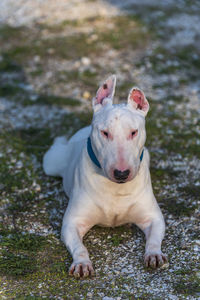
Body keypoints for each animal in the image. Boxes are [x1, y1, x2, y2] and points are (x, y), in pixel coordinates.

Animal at [43, 75, 167, 278]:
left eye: (134, 132)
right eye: (105, 133)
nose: (121, 173)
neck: (115, 188)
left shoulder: (153, 217)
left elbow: (154, 238)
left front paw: (154, 254)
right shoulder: (72, 223)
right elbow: (79, 247)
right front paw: (82, 263)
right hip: (51, 163)